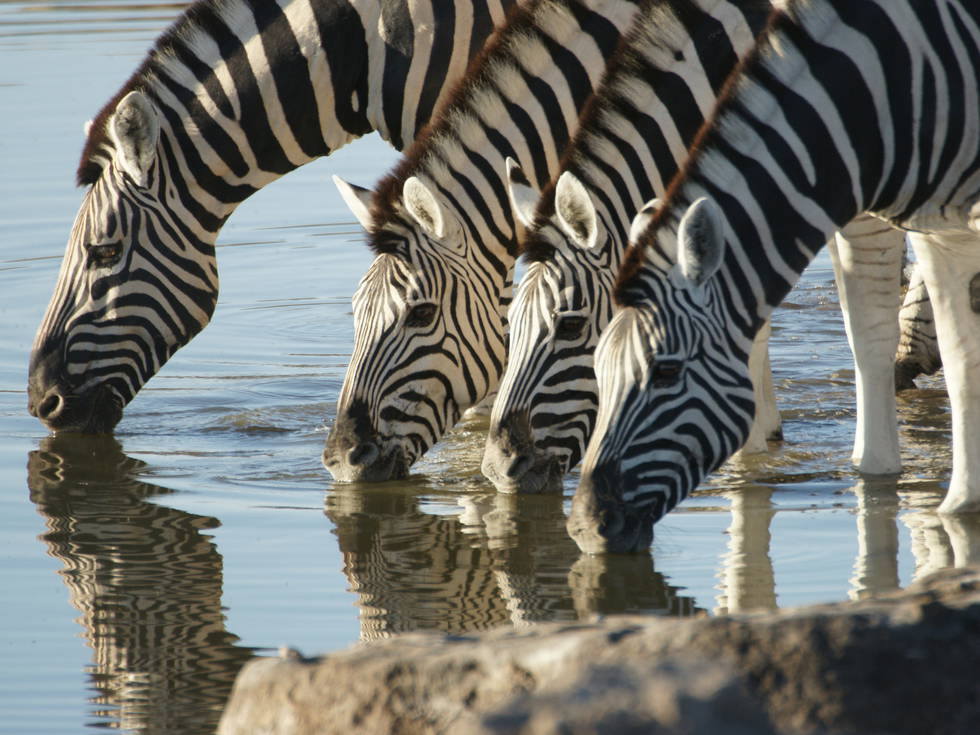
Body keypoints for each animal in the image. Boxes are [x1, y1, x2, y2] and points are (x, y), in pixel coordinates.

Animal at [483, 0, 909, 494]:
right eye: (511, 322)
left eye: (570, 326)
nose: (497, 468)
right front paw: (749, 454)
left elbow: (869, 333)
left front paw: (876, 468)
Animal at [570, 0, 980, 553]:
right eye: (596, 367)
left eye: (667, 372)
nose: (584, 527)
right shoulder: (936, 229)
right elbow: (958, 359)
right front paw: (962, 502)